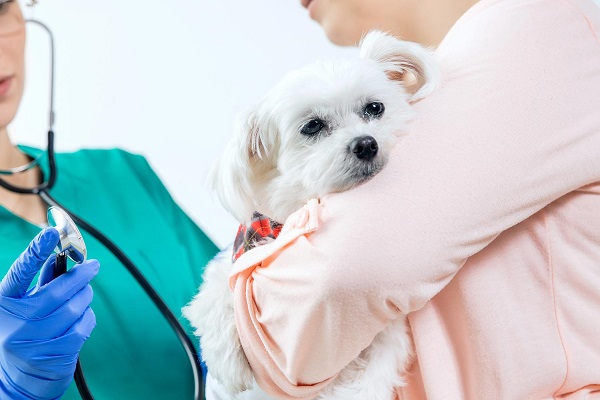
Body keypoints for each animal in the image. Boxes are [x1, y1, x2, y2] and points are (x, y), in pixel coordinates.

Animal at [180, 31, 438, 400]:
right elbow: (215, 290)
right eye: (312, 126)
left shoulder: (387, 338)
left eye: (375, 108)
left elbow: (371, 374)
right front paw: (226, 361)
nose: (365, 144)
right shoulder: (239, 253)